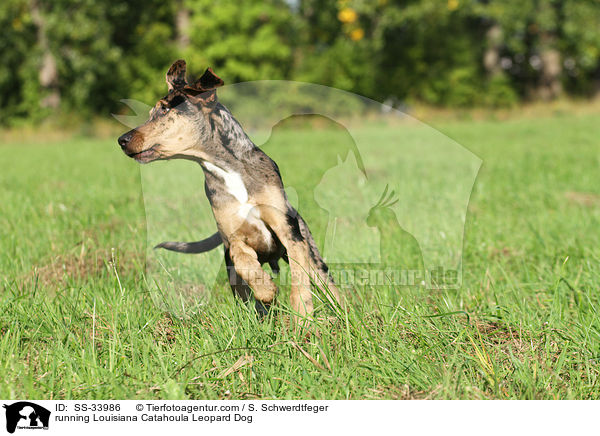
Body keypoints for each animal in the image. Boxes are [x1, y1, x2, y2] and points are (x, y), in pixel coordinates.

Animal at [118, 58, 342, 324]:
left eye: (163, 110)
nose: (121, 140)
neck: (227, 168)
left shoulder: (288, 231)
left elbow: (300, 277)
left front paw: (302, 317)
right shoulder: (233, 240)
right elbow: (247, 264)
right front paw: (267, 291)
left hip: (312, 252)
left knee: (328, 286)